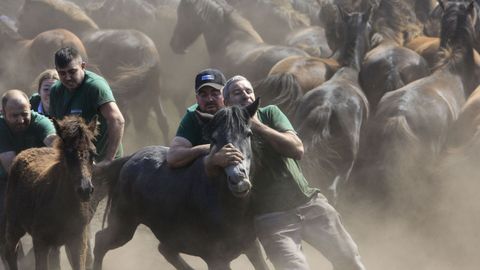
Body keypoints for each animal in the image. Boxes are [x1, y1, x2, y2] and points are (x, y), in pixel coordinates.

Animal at [2, 116, 97, 270]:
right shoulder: (40, 241)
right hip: (14, 224)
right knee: (10, 251)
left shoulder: (78, 241)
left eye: (93, 153)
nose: (85, 190)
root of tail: (25, 151)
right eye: (68, 153)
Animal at [92, 99, 268, 270]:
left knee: (165, 250)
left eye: (248, 134)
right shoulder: (216, 259)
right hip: (123, 225)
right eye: (214, 139)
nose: (238, 178)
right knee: (100, 242)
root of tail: (129, 158)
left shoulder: (252, 246)